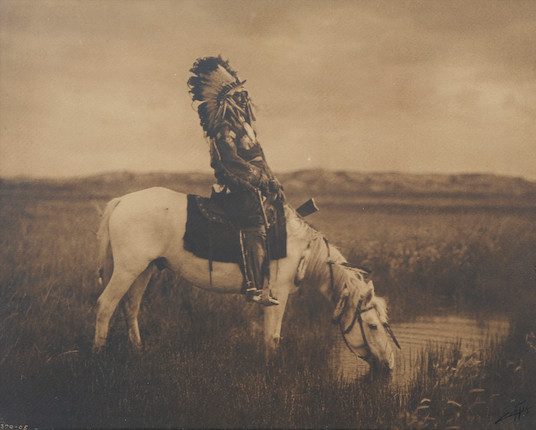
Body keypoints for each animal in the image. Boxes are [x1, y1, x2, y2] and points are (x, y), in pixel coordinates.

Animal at [94, 186, 400, 372]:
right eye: (372, 326)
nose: (390, 365)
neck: (302, 249)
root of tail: (122, 201)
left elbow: (268, 336)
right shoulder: (277, 293)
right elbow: (273, 336)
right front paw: (271, 372)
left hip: (143, 269)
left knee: (130, 307)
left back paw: (138, 351)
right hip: (127, 268)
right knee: (106, 306)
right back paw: (99, 355)